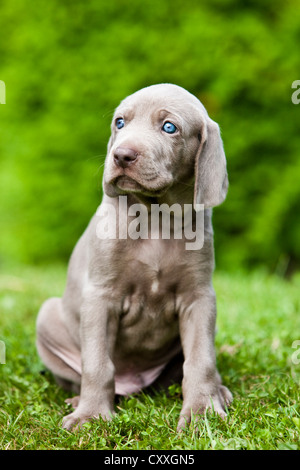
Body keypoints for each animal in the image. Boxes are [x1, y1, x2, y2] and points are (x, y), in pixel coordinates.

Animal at [35, 83, 232, 430]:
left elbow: (201, 359)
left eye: (169, 127)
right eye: (120, 122)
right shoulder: (100, 296)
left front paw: (202, 412)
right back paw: (76, 400)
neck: (154, 216)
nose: (121, 155)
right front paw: (90, 416)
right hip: (47, 316)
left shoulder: (199, 298)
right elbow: (98, 363)